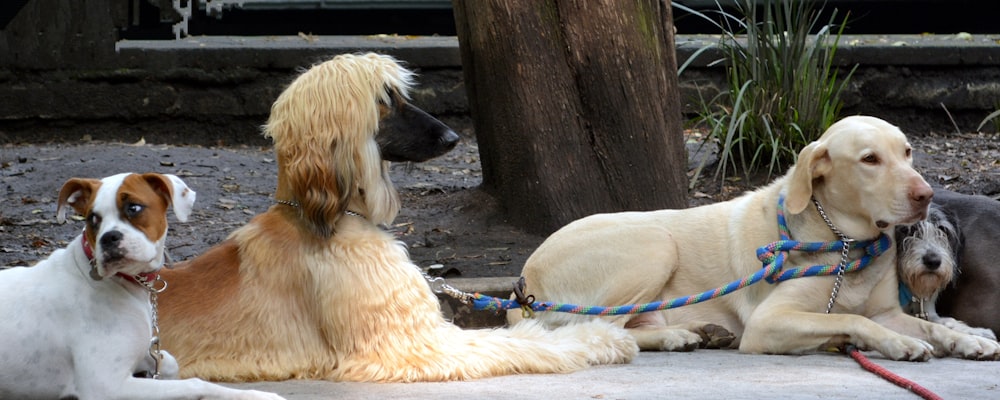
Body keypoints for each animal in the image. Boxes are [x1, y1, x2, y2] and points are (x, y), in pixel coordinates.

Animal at [0, 173, 286, 400]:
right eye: (93, 218)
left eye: (134, 208)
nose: (108, 238)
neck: (125, 282)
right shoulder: (107, 385)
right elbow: (196, 384)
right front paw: (256, 395)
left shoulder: (144, 353)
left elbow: (168, 361)